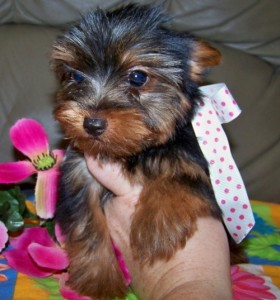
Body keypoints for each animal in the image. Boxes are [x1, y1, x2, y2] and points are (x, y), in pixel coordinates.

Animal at [52, 2, 223, 300]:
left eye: (138, 77)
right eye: (75, 76)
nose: (92, 123)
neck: (133, 152)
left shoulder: (189, 158)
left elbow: (179, 174)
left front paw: (155, 228)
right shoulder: (79, 174)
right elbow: (88, 224)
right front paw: (101, 280)